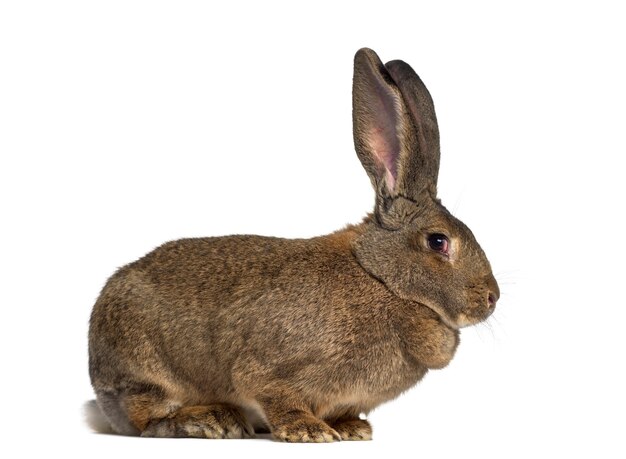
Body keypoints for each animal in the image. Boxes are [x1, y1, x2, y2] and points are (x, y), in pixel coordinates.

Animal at [88, 46, 498, 442]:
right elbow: (277, 396)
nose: (492, 297)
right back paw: (212, 422)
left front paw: (352, 429)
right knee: (148, 418)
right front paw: (309, 432)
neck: (381, 279)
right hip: (146, 369)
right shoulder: (269, 369)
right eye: (438, 242)